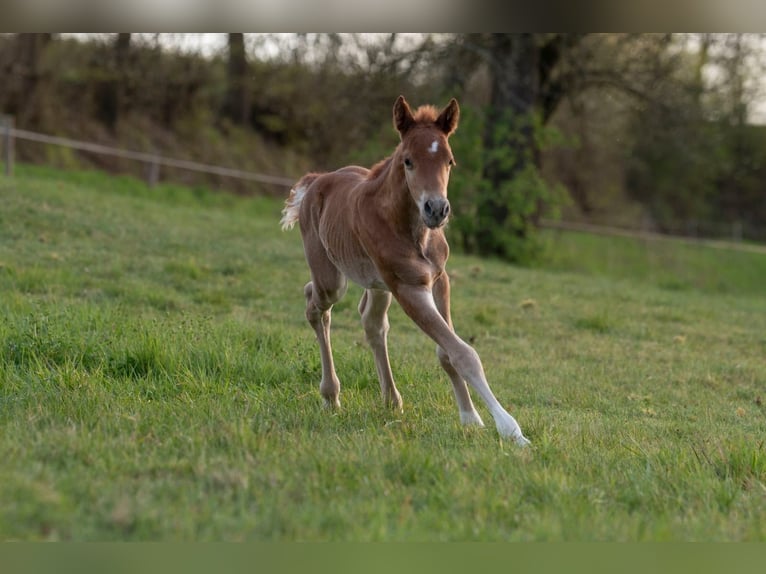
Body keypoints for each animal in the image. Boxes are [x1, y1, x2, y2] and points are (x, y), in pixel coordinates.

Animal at [281, 95, 530, 446]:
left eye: (450, 161)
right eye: (409, 161)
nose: (437, 209)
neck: (413, 230)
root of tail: (316, 180)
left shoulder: (439, 279)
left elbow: (446, 351)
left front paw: (470, 419)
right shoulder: (408, 288)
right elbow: (463, 353)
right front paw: (511, 430)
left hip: (376, 283)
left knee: (372, 323)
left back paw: (391, 400)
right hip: (334, 279)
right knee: (315, 304)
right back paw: (331, 395)